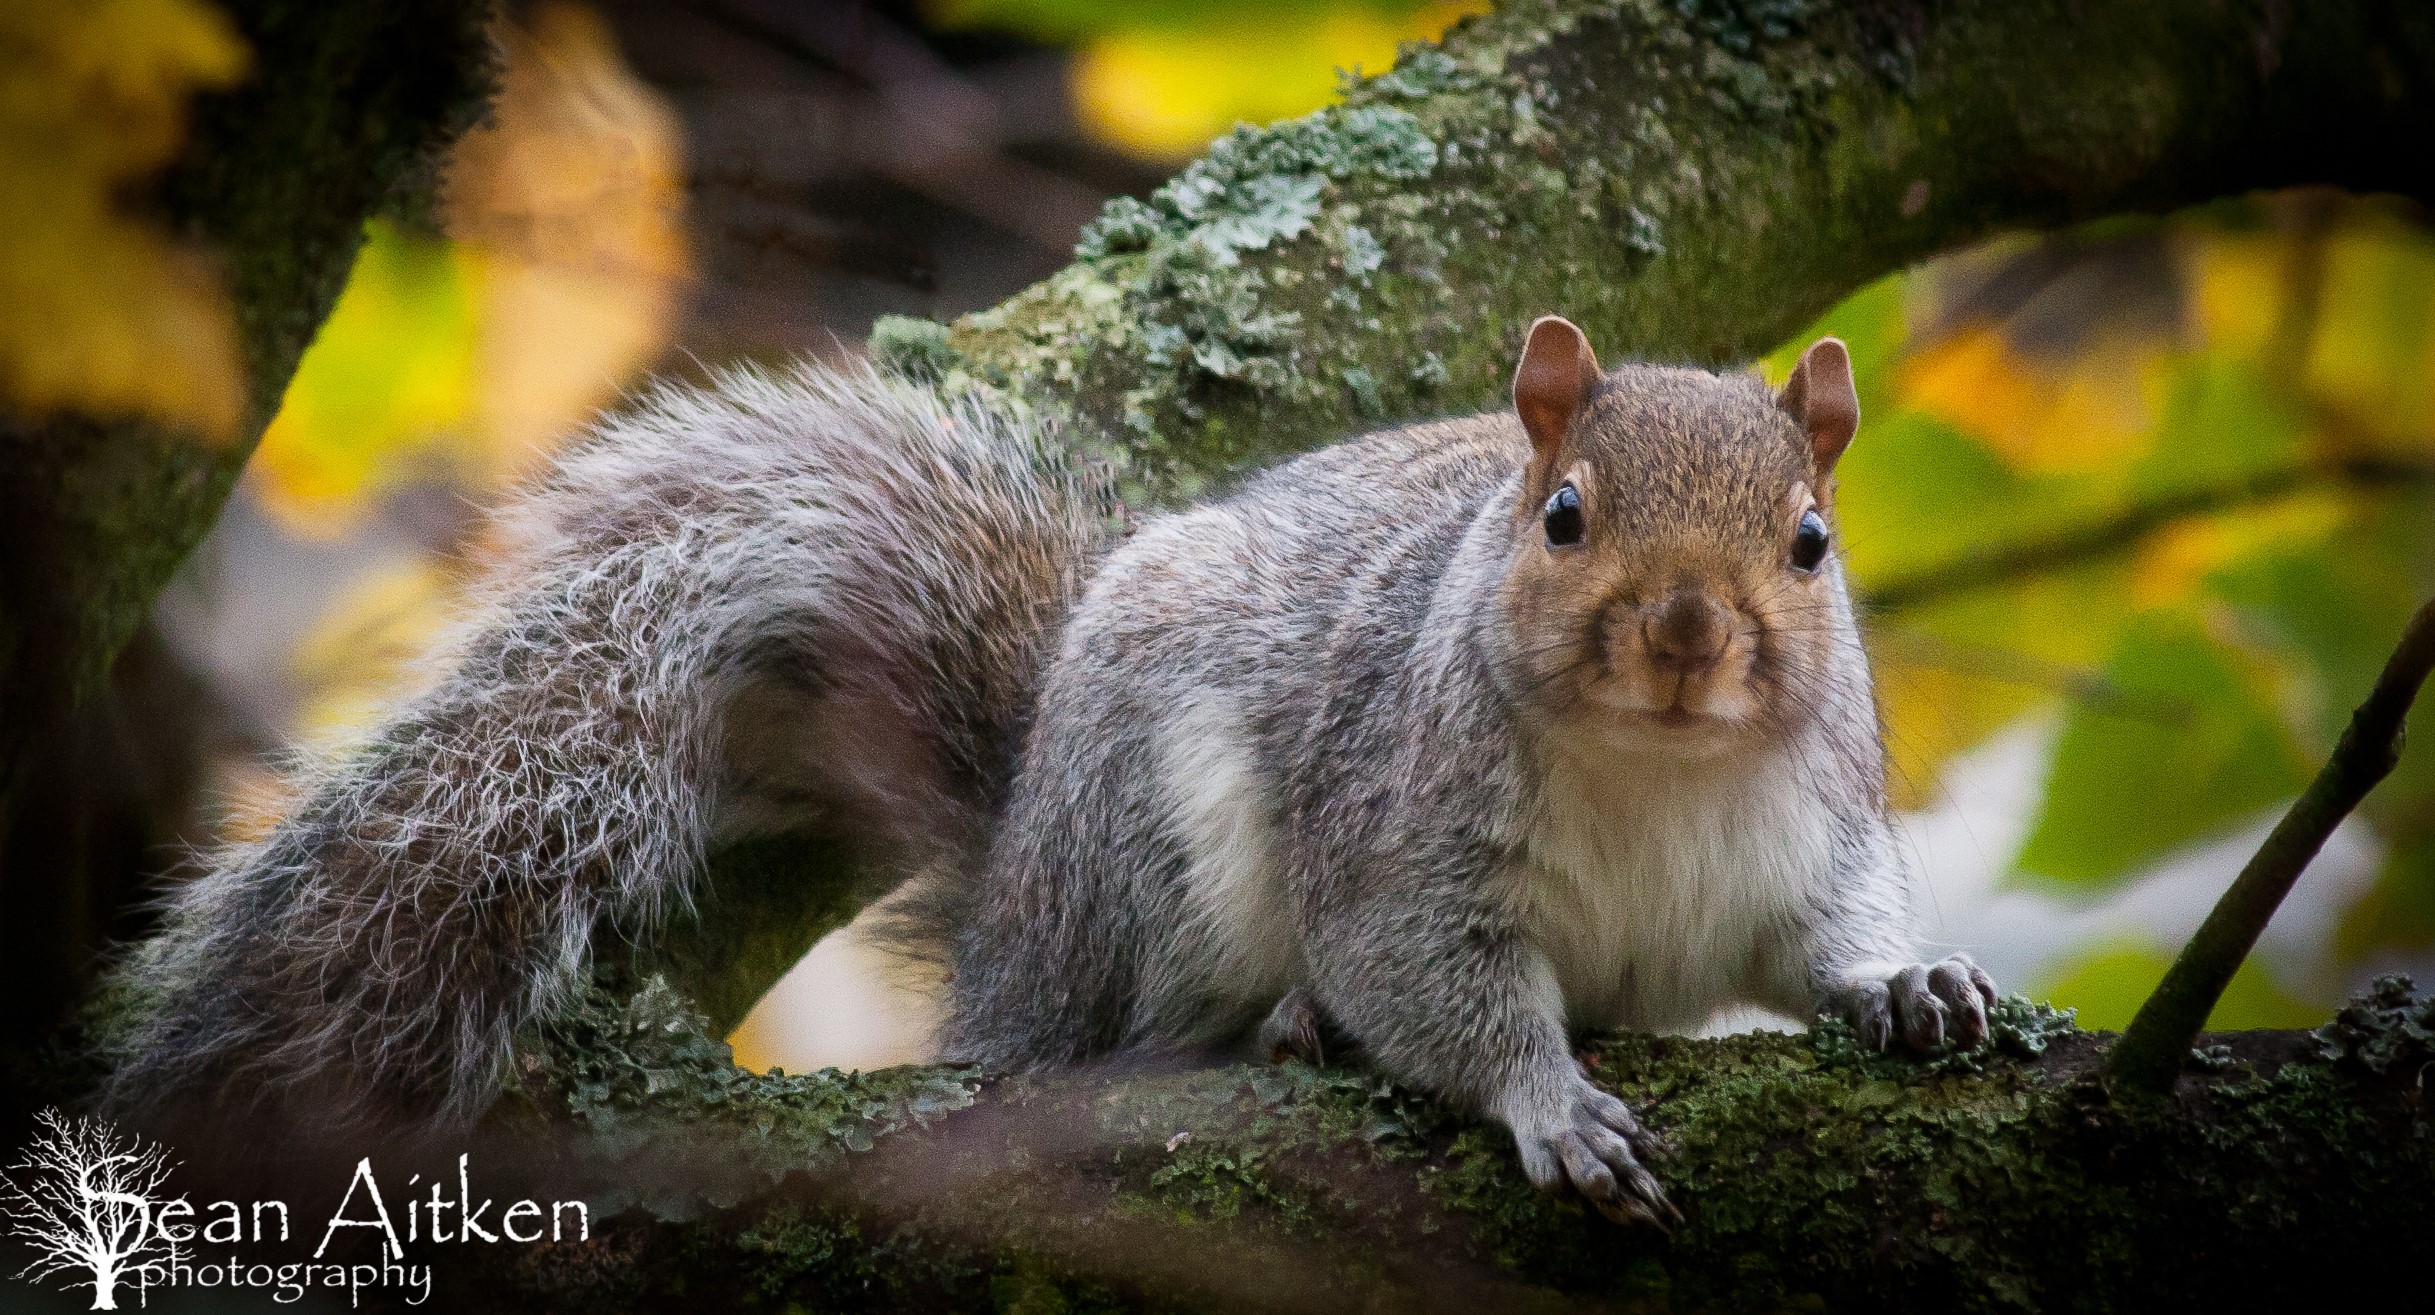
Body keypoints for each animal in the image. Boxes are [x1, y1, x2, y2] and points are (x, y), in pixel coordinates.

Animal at [104, 317, 1995, 1225]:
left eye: (1812, 544)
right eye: (1563, 519)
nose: (1684, 637)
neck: (1651, 770)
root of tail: (1013, 889)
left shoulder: (1807, 839)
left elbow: (1825, 941)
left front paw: (1912, 987)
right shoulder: (1398, 845)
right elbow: (1429, 982)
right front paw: (1548, 1100)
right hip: (1150, 852)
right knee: (1115, 1035)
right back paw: (1271, 1028)